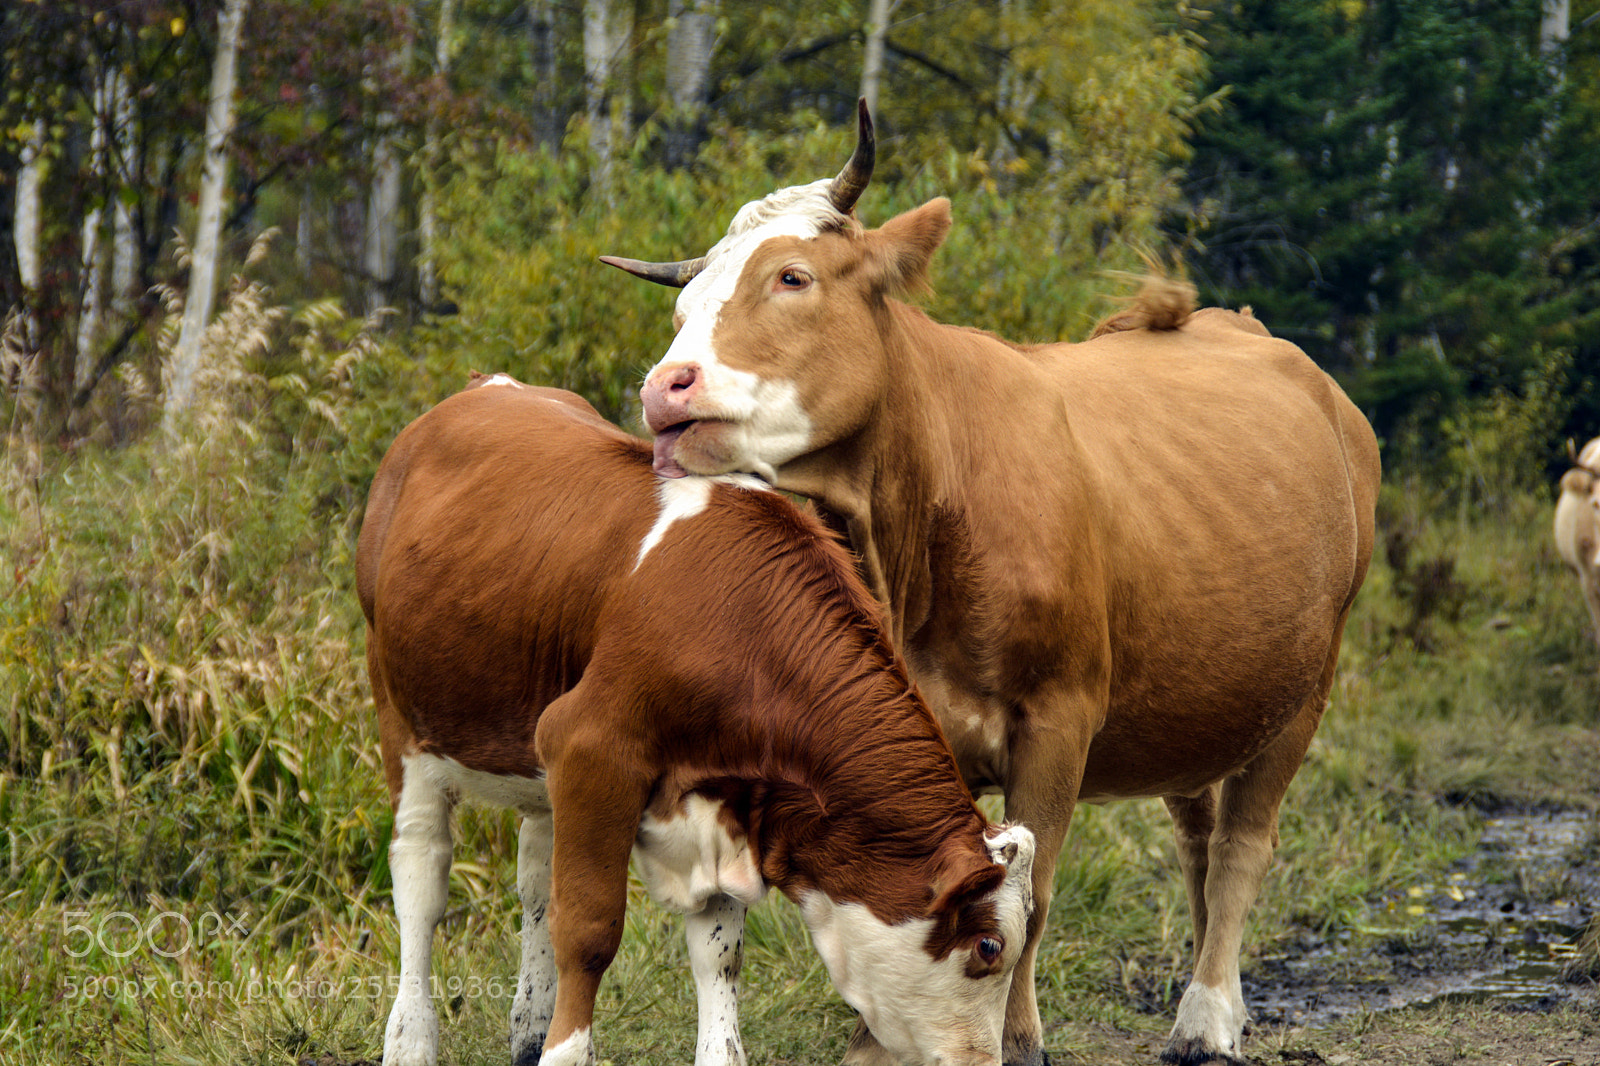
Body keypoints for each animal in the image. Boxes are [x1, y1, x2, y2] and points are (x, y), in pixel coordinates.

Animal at [355, 372, 1037, 1066]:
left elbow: (719, 952)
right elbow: (589, 930)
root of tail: (487, 386)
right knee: (421, 877)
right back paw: (410, 1039)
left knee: (535, 879)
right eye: (989, 946)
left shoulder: (724, 802)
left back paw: (527, 1026)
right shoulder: (589, 747)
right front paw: (563, 1051)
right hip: (399, 712)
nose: (984, 1063)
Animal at [608, 102, 1382, 1065]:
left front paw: (1018, 1039)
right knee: (1198, 839)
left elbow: (1033, 901)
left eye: (792, 277)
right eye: (682, 305)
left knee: (1243, 843)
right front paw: (874, 1044)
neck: (914, 543)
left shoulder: (1059, 718)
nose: (664, 389)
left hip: (1307, 684)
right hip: (1202, 689)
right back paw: (1224, 1001)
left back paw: (1206, 1016)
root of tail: (1241, 327)